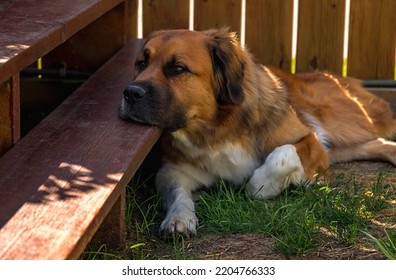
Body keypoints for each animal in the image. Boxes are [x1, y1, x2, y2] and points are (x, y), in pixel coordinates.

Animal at [119, 28, 396, 237]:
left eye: (177, 68)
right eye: (141, 63)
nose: (130, 93)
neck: (217, 127)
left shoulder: (311, 141)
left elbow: (279, 157)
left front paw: (264, 185)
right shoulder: (173, 170)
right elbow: (178, 193)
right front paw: (178, 218)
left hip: (342, 125)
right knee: (377, 144)